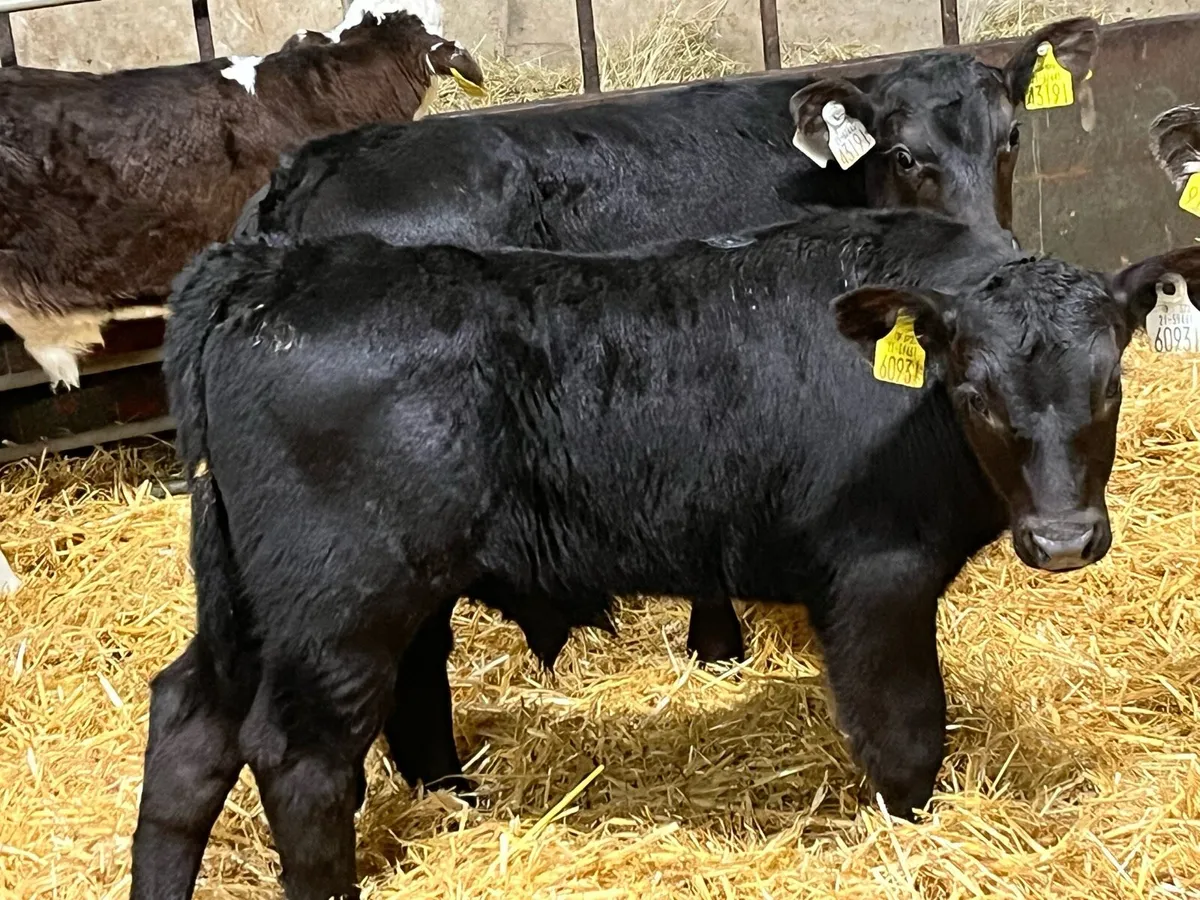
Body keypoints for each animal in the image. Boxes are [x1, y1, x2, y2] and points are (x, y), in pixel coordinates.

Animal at [130, 204, 1199, 900]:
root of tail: (276, 266)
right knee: (299, 756)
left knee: (193, 723)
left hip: (259, 601)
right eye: (975, 392)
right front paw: (914, 843)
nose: (1064, 539)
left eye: (1110, 384)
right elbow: (905, 736)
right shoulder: (878, 577)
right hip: (341, 604)